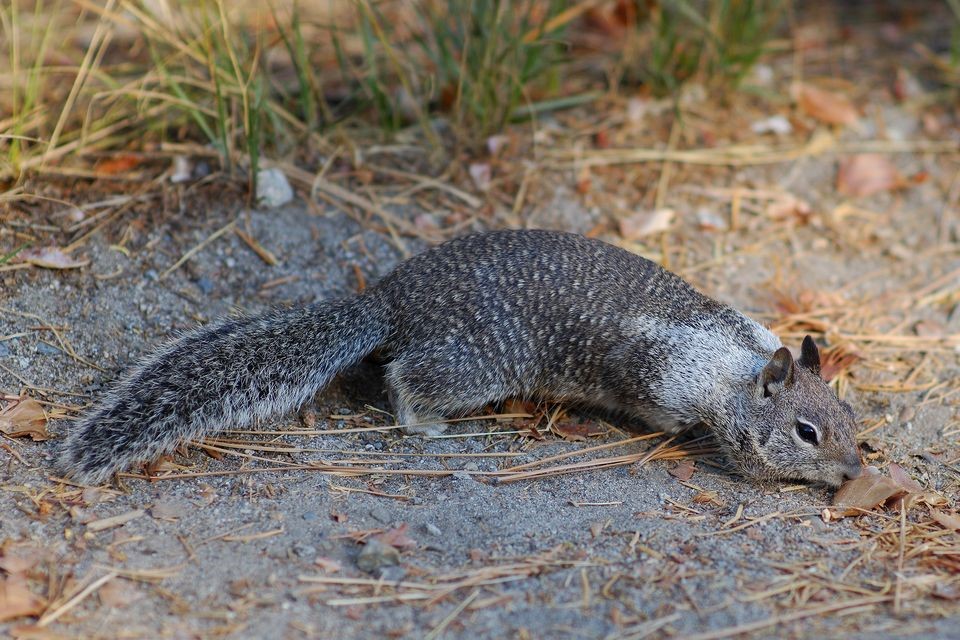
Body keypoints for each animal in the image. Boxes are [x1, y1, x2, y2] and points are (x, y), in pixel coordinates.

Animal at [58, 230, 864, 484]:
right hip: (476, 362)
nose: (857, 474)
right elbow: (661, 409)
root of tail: (388, 300)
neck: (734, 364)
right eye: (806, 433)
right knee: (405, 378)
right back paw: (427, 424)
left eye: (852, 419)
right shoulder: (662, 373)